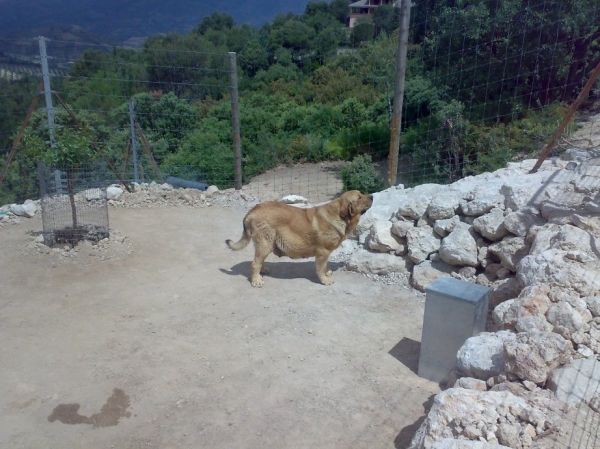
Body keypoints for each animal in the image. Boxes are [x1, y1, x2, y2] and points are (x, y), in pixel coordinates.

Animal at [227, 190, 372, 288]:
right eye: (359, 197)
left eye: (361, 193)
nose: (372, 196)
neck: (340, 216)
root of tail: (251, 211)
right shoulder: (323, 252)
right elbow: (320, 268)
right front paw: (324, 280)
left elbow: (324, 266)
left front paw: (326, 273)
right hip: (265, 243)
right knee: (255, 263)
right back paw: (256, 280)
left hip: (265, 245)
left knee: (258, 260)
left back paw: (262, 271)